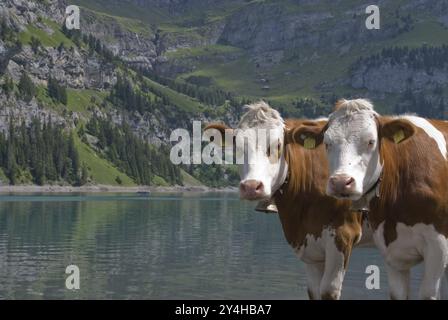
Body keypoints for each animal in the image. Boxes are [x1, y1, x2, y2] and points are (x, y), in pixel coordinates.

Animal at [205, 102, 362, 300]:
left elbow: (328, 291)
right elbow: (314, 291)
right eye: (238, 148)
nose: (251, 187)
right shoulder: (309, 243)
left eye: (277, 145)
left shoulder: (343, 235)